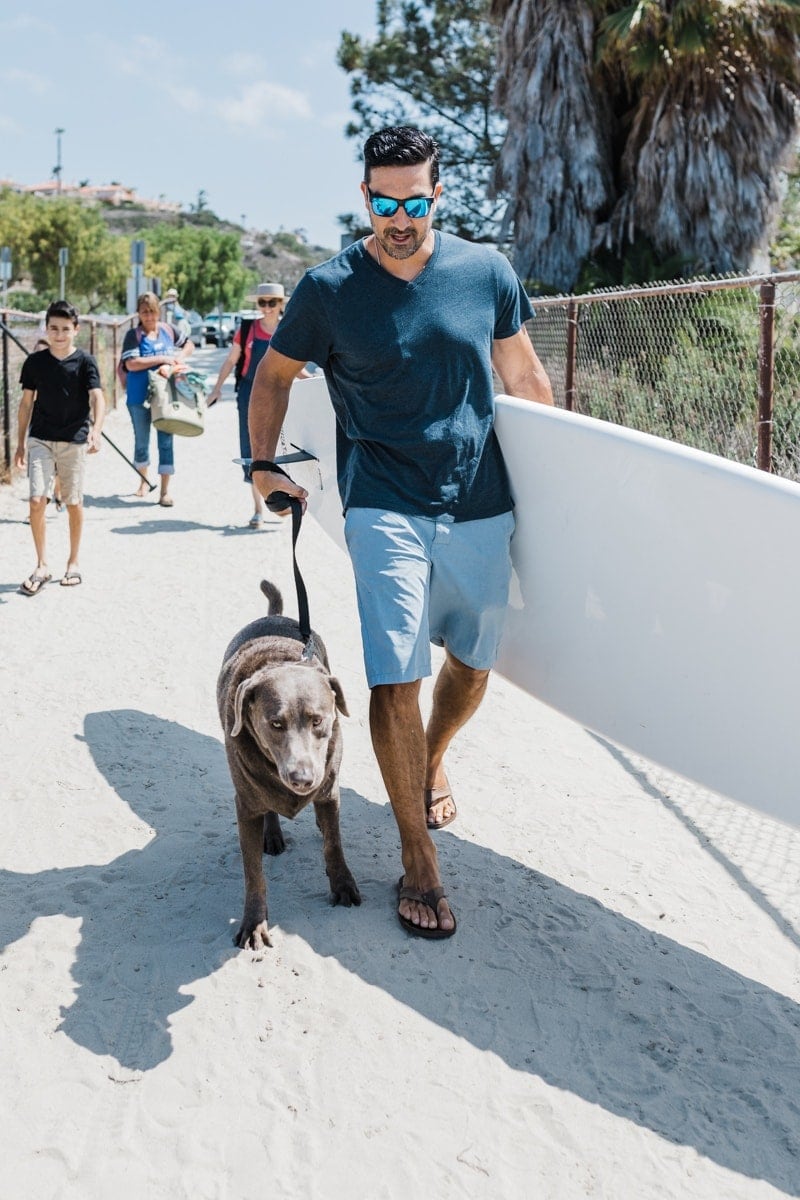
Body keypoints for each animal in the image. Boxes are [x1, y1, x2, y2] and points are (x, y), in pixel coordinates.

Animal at [215, 580, 359, 945]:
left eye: (318, 720)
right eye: (275, 723)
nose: (302, 778)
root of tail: (275, 616)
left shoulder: (329, 788)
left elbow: (334, 843)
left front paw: (343, 885)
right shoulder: (246, 805)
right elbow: (253, 872)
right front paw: (254, 923)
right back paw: (273, 834)